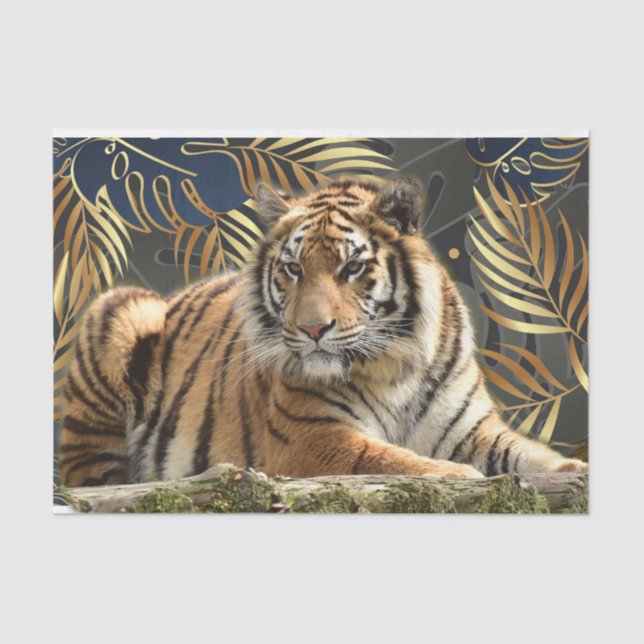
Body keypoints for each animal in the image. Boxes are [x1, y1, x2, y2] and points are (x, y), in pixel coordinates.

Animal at [58, 176, 588, 487]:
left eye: (351, 268)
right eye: (293, 269)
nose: (312, 328)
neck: (394, 368)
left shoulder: (473, 431)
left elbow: (529, 454)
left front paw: (573, 470)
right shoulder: (313, 438)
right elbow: (391, 461)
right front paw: (458, 477)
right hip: (123, 309)